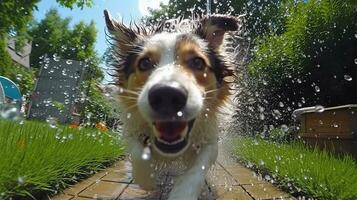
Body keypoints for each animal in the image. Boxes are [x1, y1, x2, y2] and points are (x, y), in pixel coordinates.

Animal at [104, 9, 241, 200]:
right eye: (144, 63)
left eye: (197, 62)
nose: (167, 95)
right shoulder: (131, 126)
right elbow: (137, 151)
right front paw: (147, 178)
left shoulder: (211, 138)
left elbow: (199, 166)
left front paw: (182, 192)